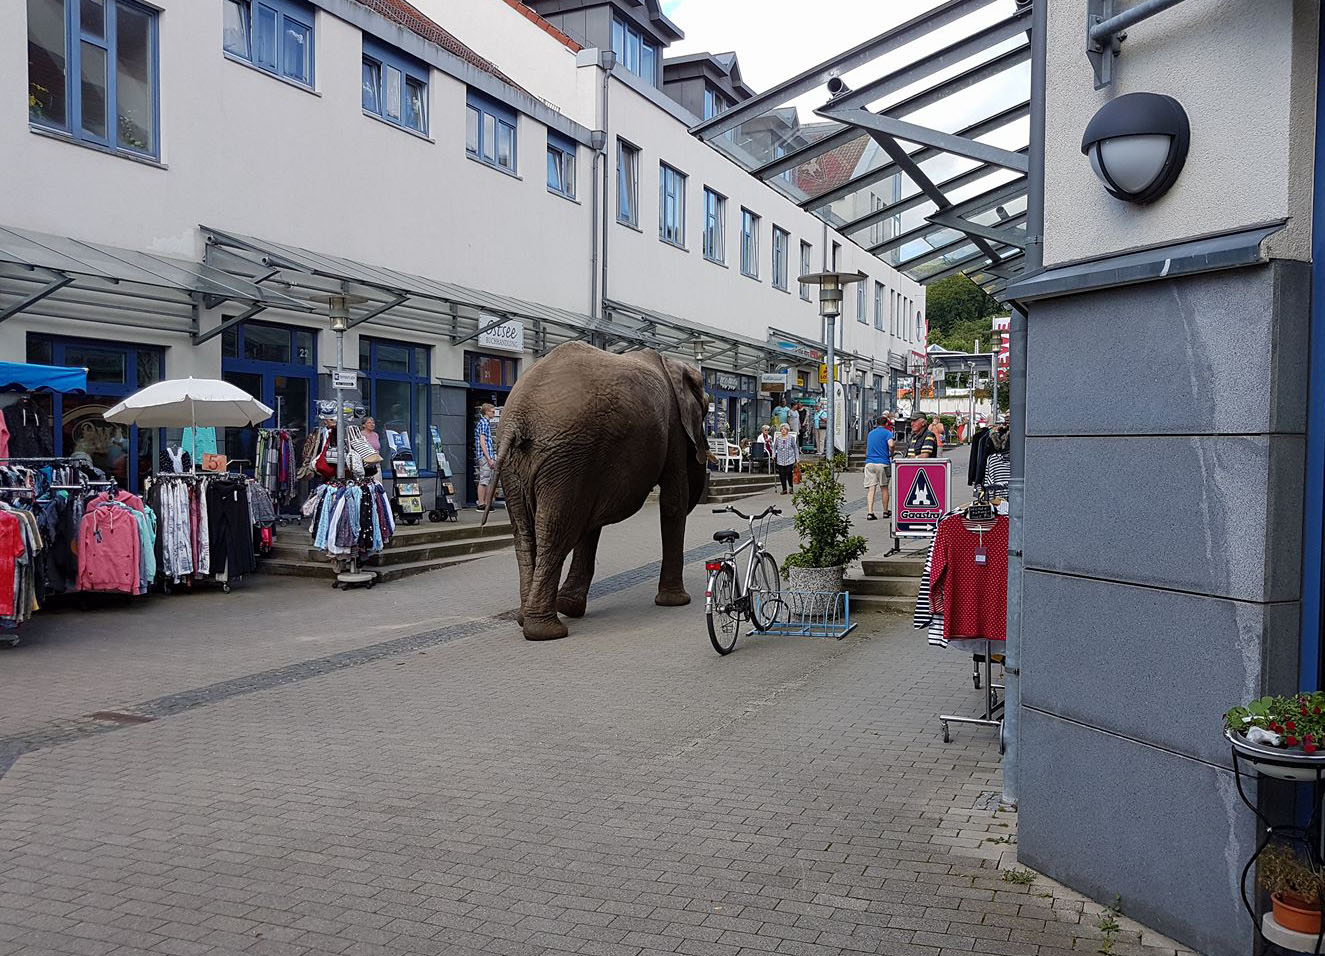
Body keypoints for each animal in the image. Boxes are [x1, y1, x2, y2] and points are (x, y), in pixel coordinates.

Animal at [484, 338, 710, 635]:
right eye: (706, 410)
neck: (671, 362)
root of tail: (516, 418)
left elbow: (590, 524)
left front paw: (569, 606)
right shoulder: (672, 427)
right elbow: (673, 502)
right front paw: (676, 602)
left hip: (523, 464)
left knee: (527, 533)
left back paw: (527, 620)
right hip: (564, 456)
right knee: (555, 531)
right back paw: (546, 632)